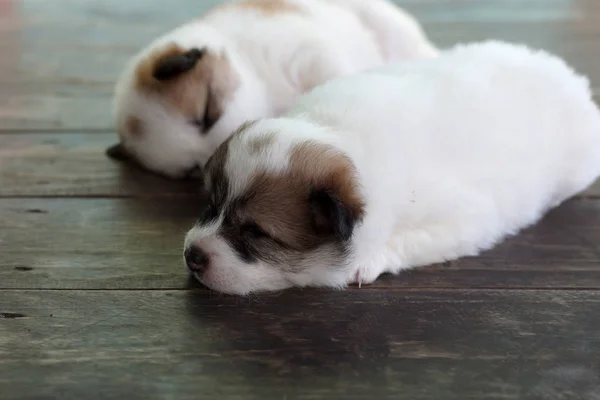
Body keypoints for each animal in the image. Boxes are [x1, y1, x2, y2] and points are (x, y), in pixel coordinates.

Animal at [182, 40, 600, 296]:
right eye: (211, 205)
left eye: (255, 232)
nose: (191, 255)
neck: (343, 137)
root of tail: (571, 79)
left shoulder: (467, 218)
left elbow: (410, 240)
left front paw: (367, 262)